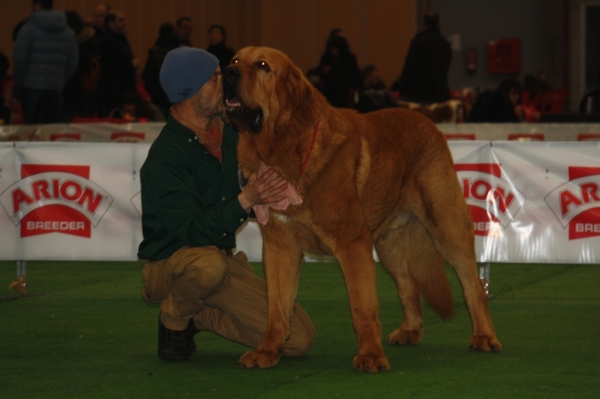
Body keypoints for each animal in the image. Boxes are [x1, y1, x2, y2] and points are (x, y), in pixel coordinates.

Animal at [223, 47, 500, 376]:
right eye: (235, 60)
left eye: (263, 66)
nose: (226, 72)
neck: (285, 147)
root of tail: (427, 121)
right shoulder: (280, 248)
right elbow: (276, 307)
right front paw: (268, 350)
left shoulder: (352, 244)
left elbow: (362, 307)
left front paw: (370, 356)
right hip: (390, 246)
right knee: (408, 286)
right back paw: (410, 331)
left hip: (447, 228)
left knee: (473, 286)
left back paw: (484, 337)